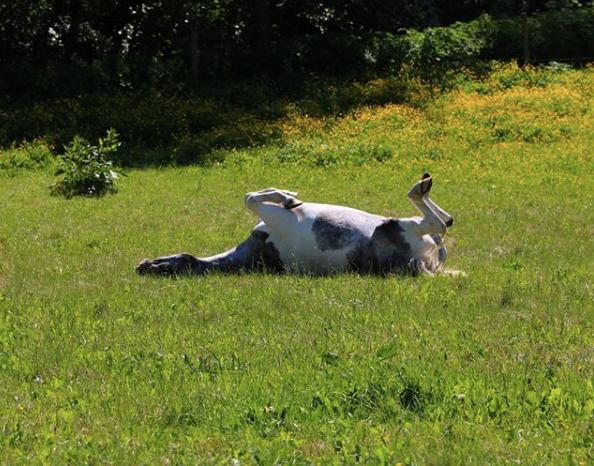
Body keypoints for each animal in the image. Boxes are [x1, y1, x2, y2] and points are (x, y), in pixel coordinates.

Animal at [138, 174, 458, 276]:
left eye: (161, 263)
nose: (143, 265)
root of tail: (424, 264)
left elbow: (253, 195)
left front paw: (287, 193)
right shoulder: (273, 217)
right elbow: (251, 198)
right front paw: (289, 197)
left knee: (445, 222)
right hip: (407, 227)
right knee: (437, 223)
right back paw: (421, 186)